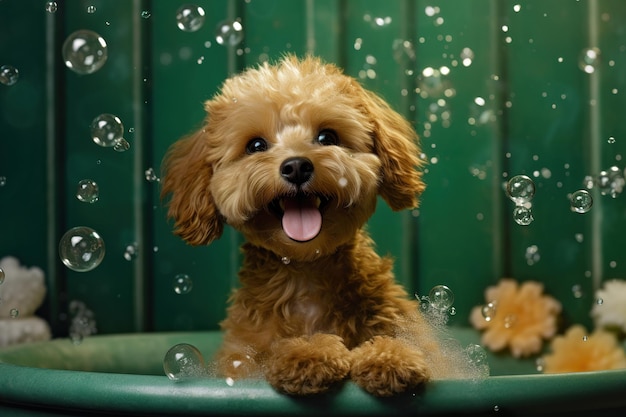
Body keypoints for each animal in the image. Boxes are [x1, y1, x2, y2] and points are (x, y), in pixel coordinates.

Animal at [161, 55, 444, 396]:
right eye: (256, 145)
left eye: (327, 137)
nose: (296, 166)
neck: (306, 272)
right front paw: (308, 354)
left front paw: (389, 357)